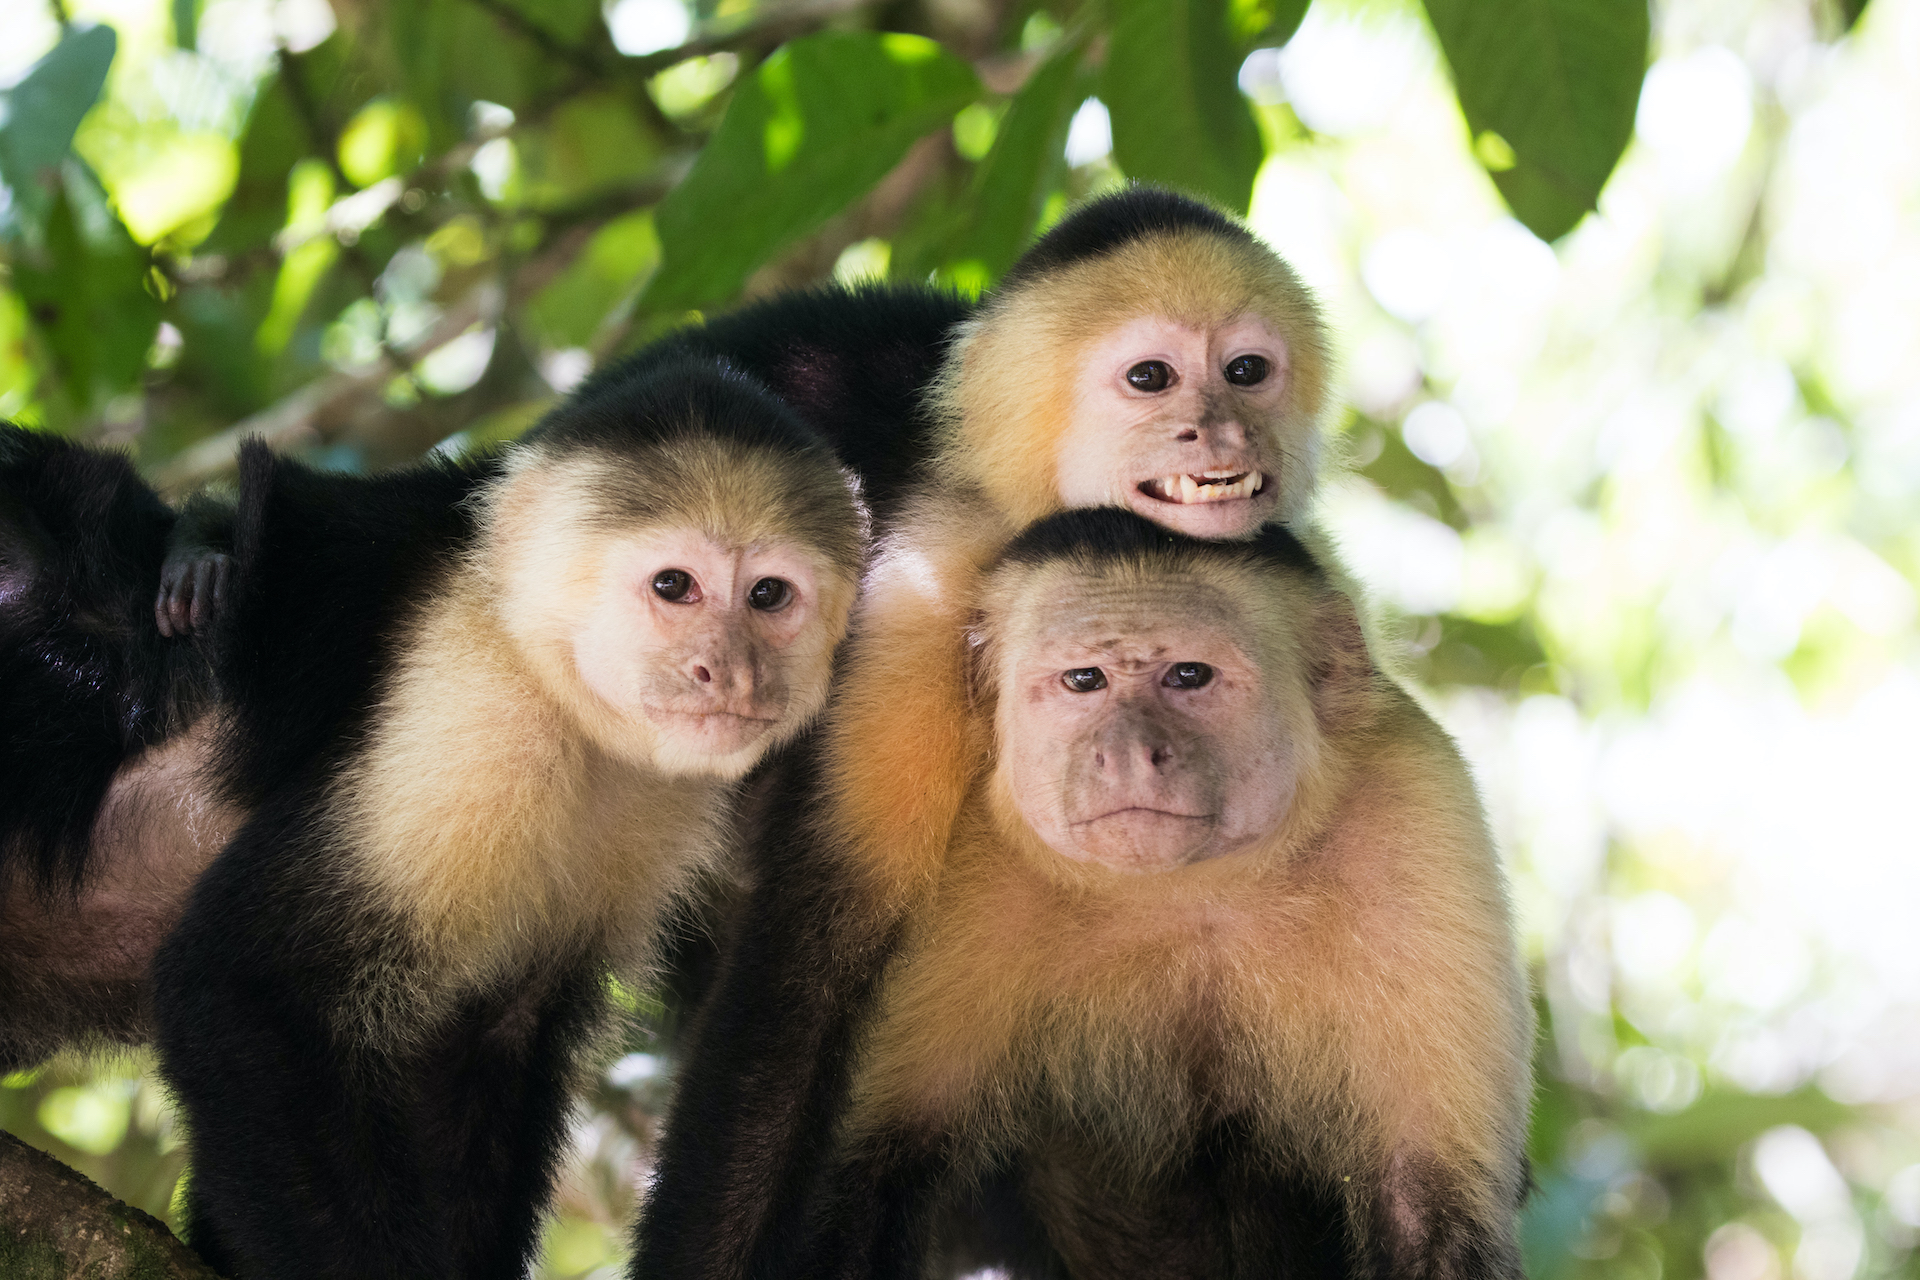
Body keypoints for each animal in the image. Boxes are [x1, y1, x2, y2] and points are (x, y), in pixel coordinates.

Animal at [641, 510, 1528, 1280]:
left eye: (1189, 675)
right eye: (1083, 680)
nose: (1130, 752)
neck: (1189, 891)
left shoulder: (1417, 810)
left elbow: (1426, 1207)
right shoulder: (968, 849)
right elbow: (866, 1178)